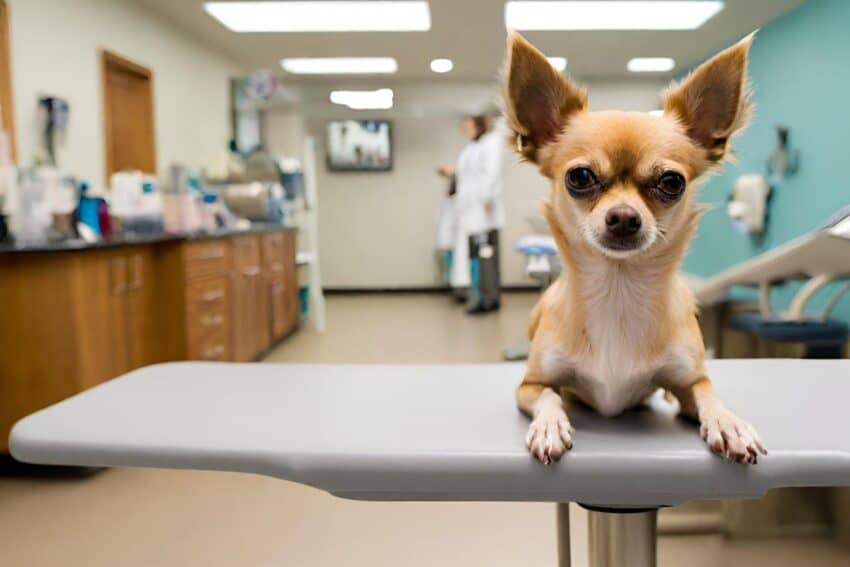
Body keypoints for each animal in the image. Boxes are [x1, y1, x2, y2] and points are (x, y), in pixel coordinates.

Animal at [500, 32, 764, 466]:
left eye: (672, 182)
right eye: (579, 177)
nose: (624, 217)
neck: (617, 287)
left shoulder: (691, 382)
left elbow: (709, 396)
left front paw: (729, 423)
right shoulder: (529, 384)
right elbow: (550, 397)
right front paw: (550, 425)